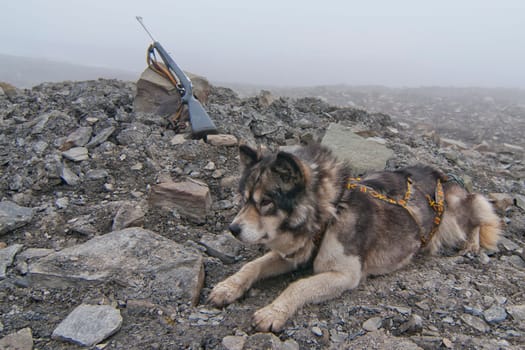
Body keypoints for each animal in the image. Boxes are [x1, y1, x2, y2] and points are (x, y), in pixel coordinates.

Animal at [208, 144, 500, 332]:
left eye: (266, 202)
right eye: (245, 198)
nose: (233, 229)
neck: (330, 213)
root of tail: (441, 175)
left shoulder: (345, 274)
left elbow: (298, 285)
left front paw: (272, 312)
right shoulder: (294, 253)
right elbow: (253, 265)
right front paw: (228, 287)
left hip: (454, 214)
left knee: (478, 218)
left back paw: (472, 245)